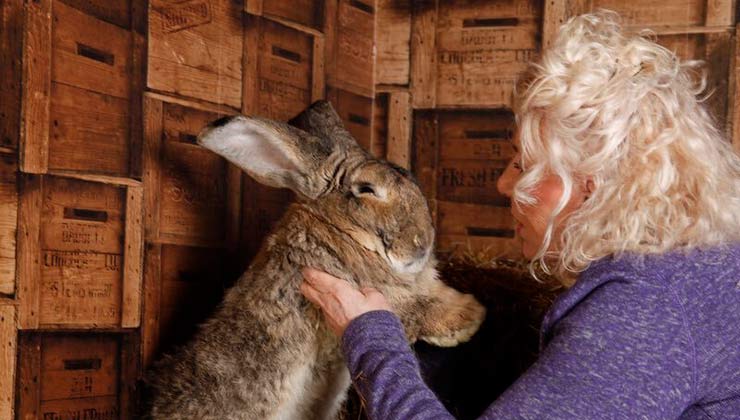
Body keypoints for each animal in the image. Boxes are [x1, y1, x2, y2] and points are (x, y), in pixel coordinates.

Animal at [147, 101, 488, 420]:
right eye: (366, 189)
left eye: (411, 177)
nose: (422, 243)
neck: (342, 231)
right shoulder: (378, 295)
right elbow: (422, 308)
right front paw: (471, 317)